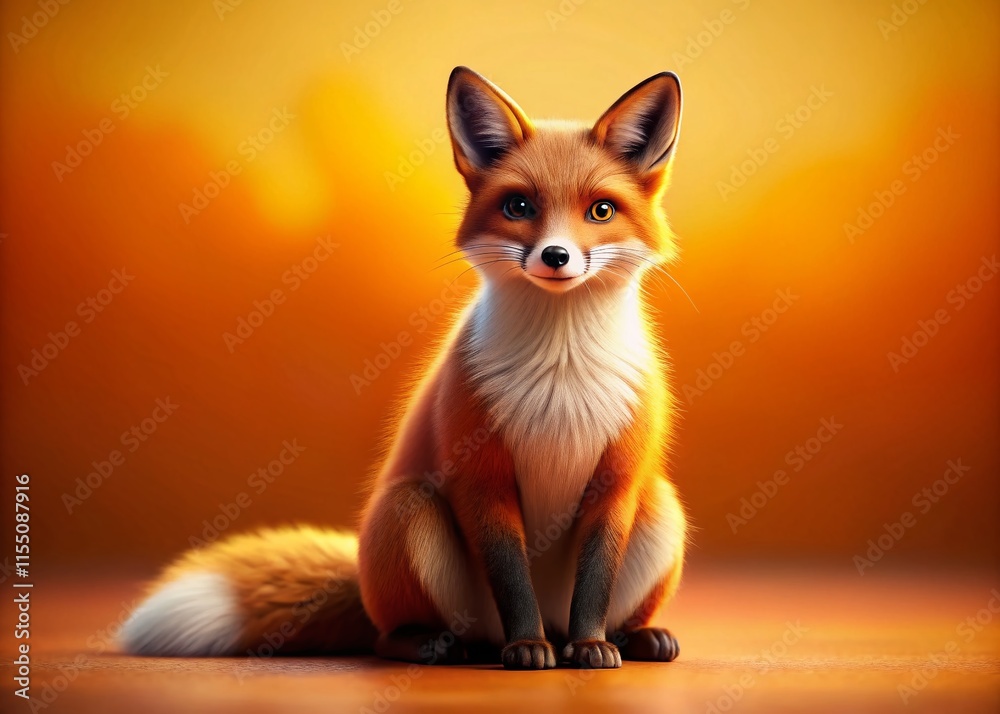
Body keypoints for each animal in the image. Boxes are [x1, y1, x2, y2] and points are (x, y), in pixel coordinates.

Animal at [120, 66, 688, 670]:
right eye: (519, 207)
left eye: (600, 210)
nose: (555, 257)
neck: (561, 373)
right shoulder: (481, 475)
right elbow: (511, 579)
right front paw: (527, 648)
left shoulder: (617, 481)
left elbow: (597, 582)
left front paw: (591, 645)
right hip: (412, 509)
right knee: (390, 638)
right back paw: (453, 645)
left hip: (660, 506)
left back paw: (630, 637)